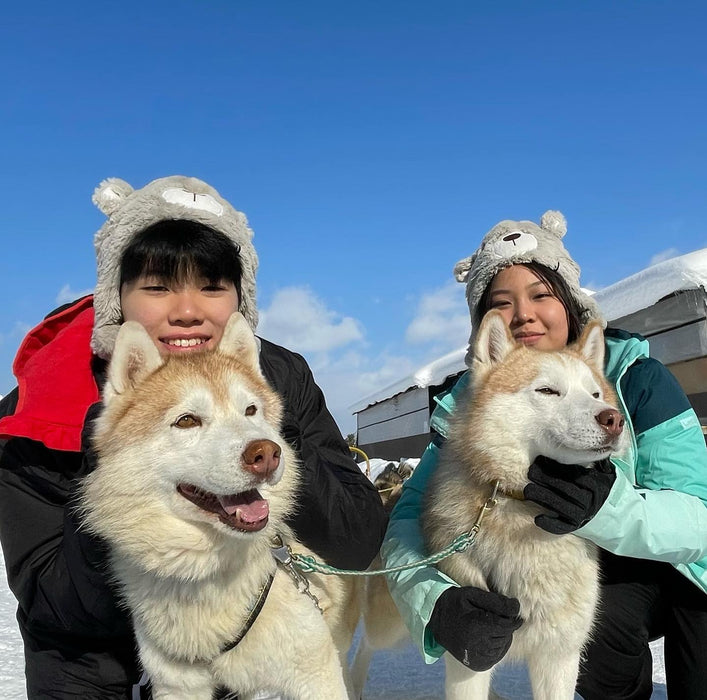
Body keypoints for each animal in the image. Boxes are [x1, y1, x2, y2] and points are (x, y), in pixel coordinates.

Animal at [81, 314, 360, 696]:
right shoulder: (177, 686)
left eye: (251, 410)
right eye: (187, 420)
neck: (205, 568)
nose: (267, 453)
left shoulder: (315, 673)